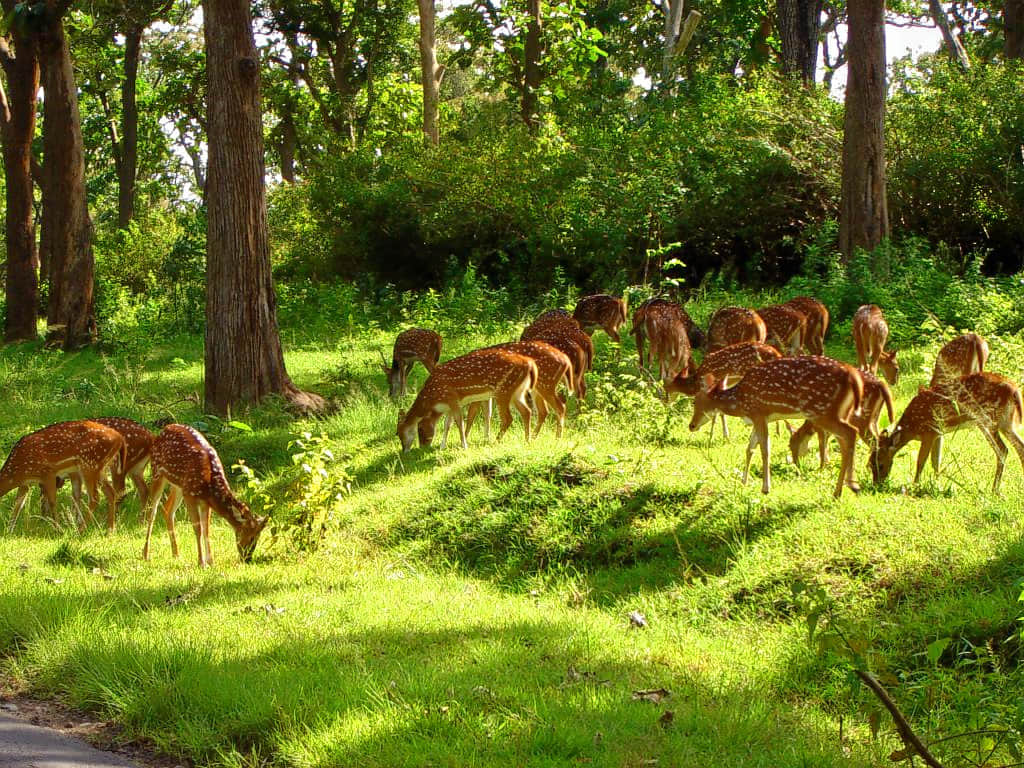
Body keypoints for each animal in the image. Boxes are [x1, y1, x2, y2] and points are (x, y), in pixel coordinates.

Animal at [143, 424, 267, 567]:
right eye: (252, 536)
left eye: (259, 536)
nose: (247, 559)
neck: (209, 483)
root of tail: (163, 430)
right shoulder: (190, 495)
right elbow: (198, 528)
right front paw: (201, 562)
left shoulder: (205, 501)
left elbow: (206, 528)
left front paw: (211, 561)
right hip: (157, 472)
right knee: (152, 511)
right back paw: (145, 555)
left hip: (178, 485)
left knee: (167, 509)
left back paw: (176, 554)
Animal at [397, 348, 539, 451]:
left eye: (399, 433)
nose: (405, 450)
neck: (434, 399)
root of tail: (530, 363)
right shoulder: (449, 404)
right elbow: (447, 424)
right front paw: (442, 446)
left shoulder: (453, 399)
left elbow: (459, 422)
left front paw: (464, 446)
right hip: (517, 391)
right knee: (526, 411)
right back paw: (527, 440)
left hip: (503, 390)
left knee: (508, 418)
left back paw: (496, 441)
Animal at [689, 356, 864, 498]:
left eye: (695, 401)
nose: (691, 425)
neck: (740, 402)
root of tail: (853, 376)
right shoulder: (760, 418)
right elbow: (749, 448)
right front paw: (743, 482)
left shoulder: (758, 412)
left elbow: (765, 449)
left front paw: (765, 488)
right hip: (840, 412)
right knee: (844, 440)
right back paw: (841, 490)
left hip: (822, 411)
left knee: (851, 432)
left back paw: (851, 486)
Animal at [868, 372, 1024, 493]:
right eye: (870, 464)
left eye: (880, 464)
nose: (877, 485)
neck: (911, 428)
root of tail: (1014, 390)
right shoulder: (938, 432)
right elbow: (936, 462)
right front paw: (937, 485)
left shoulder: (929, 431)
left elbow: (921, 461)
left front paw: (915, 485)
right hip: (1006, 423)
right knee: (1019, 447)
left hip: (987, 419)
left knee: (1003, 450)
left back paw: (994, 489)